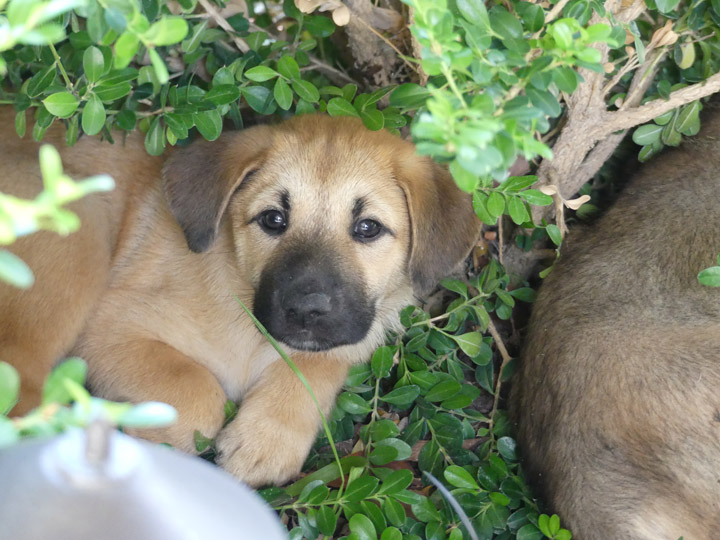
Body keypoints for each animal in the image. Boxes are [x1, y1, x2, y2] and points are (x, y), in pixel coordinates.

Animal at [1, 108, 484, 486]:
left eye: (368, 228)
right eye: (273, 219)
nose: (306, 310)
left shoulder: (343, 341)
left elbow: (314, 370)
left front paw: (265, 441)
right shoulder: (110, 325)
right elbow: (194, 390)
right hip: (78, 231)